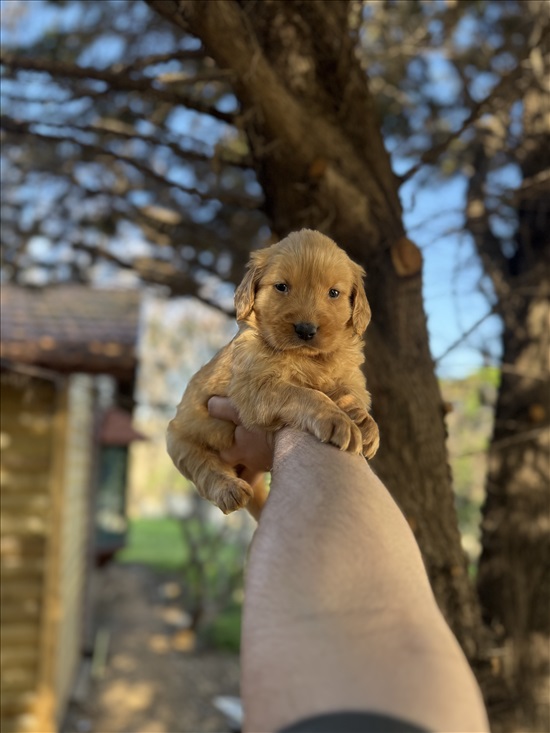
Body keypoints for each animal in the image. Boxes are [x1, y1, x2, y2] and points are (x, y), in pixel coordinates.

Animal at [167, 226, 380, 516]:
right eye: (281, 287)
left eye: (334, 293)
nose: (305, 330)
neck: (308, 358)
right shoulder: (255, 387)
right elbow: (304, 394)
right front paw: (337, 419)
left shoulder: (347, 377)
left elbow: (349, 395)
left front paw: (365, 423)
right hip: (179, 439)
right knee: (203, 467)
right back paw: (228, 489)